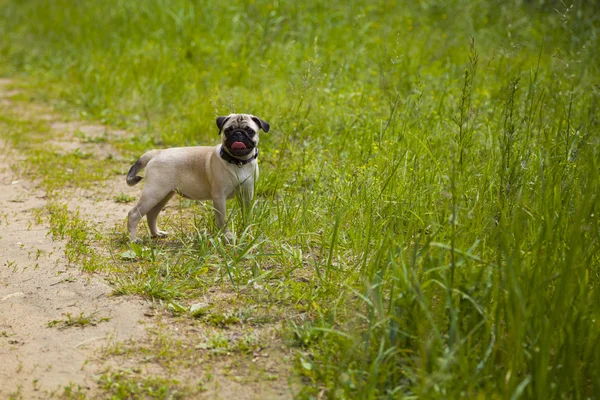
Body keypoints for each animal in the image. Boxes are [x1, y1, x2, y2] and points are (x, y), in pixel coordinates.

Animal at [125, 114, 270, 242]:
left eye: (250, 131)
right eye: (228, 130)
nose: (238, 133)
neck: (238, 162)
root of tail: (156, 153)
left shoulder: (247, 195)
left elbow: (247, 215)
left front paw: (247, 231)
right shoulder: (219, 197)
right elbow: (222, 219)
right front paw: (227, 236)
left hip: (164, 195)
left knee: (152, 214)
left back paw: (157, 233)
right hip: (153, 193)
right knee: (133, 214)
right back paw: (134, 239)